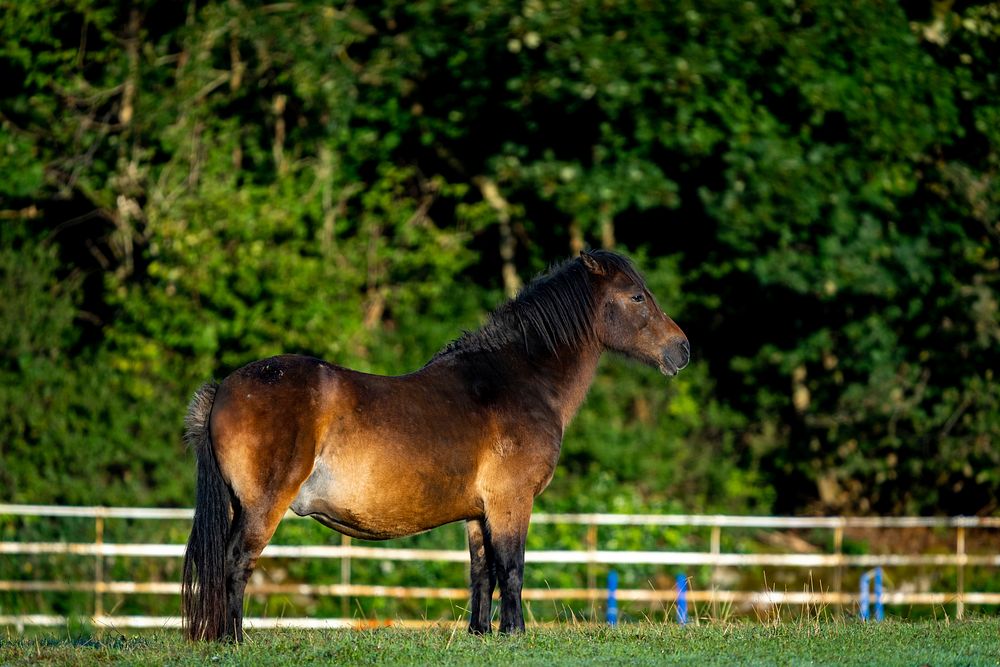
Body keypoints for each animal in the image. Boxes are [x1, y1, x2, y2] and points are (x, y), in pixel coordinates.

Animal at [182, 250, 688, 640]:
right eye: (637, 296)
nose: (681, 349)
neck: (519, 379)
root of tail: (224, 389)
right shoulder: (512, 502)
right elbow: (513, 568)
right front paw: (515, 632)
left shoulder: (479, 512)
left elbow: (482, 572)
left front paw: (482, 633)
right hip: (261, 506)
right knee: (235, 562)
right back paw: (233, 639)